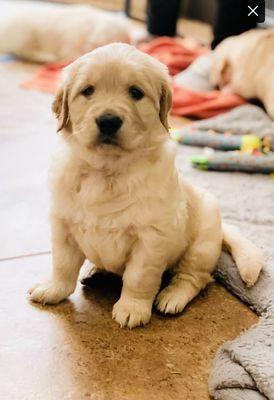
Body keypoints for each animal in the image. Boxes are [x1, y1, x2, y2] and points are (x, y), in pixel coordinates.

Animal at [27, 43, 264, 328]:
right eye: (88, 91)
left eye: (136, 93)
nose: (108, 120)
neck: (107, 171)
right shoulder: (63, 224)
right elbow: (62, 264)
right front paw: (53, 289)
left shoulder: (151, 238)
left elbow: (138, 277)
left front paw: (132, 308)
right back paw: (94, 269)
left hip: (202, 245)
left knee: (194, 278)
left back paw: (172, 297)